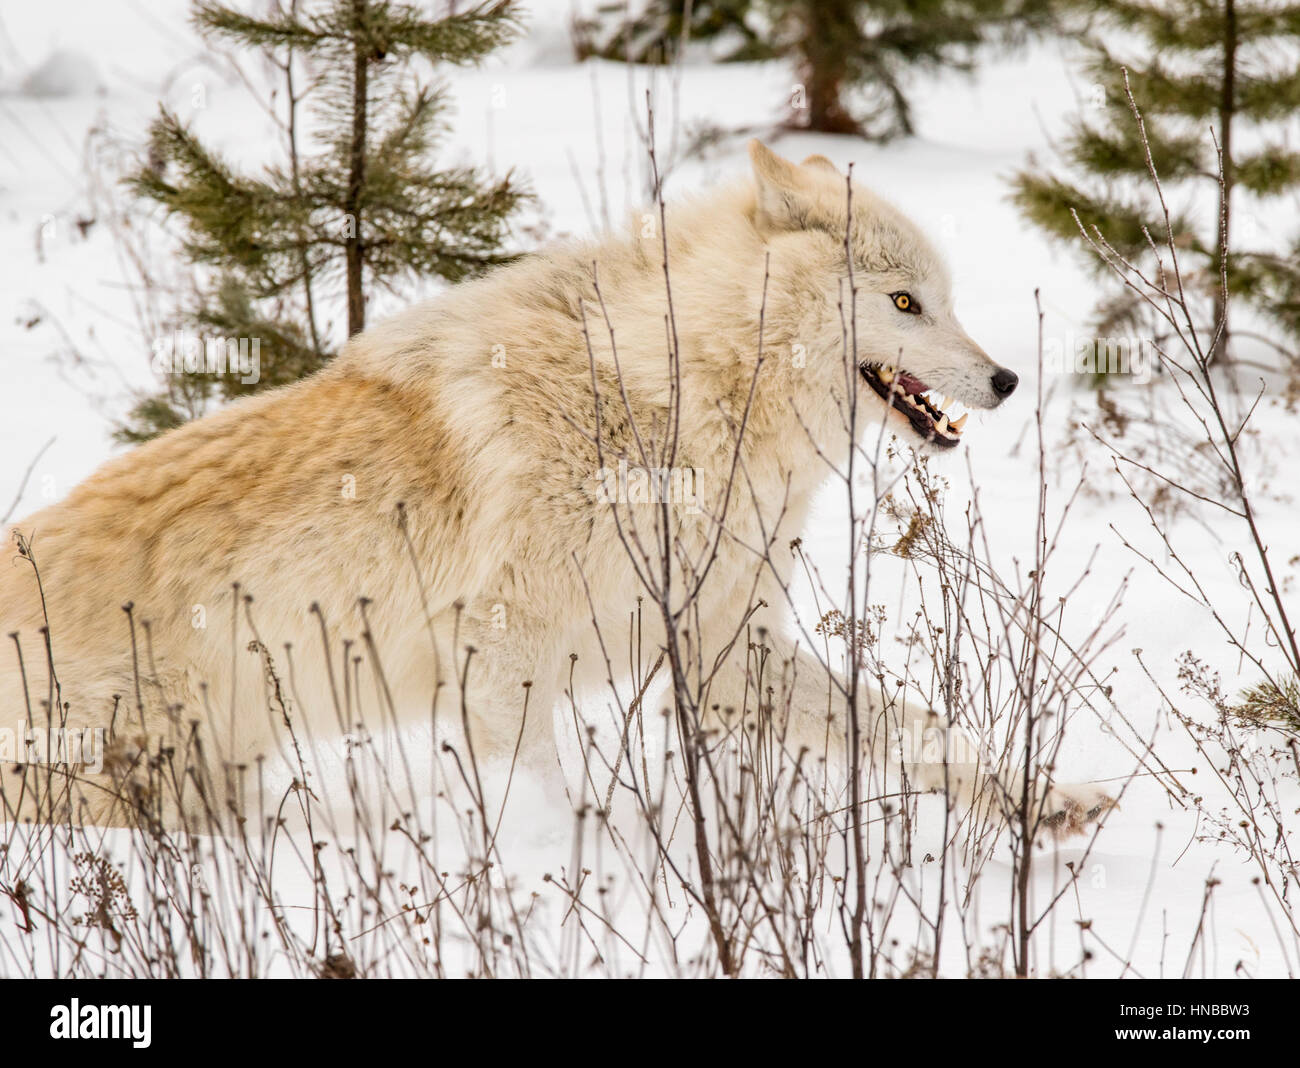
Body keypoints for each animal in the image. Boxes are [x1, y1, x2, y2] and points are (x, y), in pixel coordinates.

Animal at [0, 141, 1111, 833]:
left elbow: (921, 730)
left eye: (945, 302)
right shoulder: (500, 655)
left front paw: (1045, 802)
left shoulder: (725, 657)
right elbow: (535, 788)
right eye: (904, 302)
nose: (1006, 381)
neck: (679, 400)